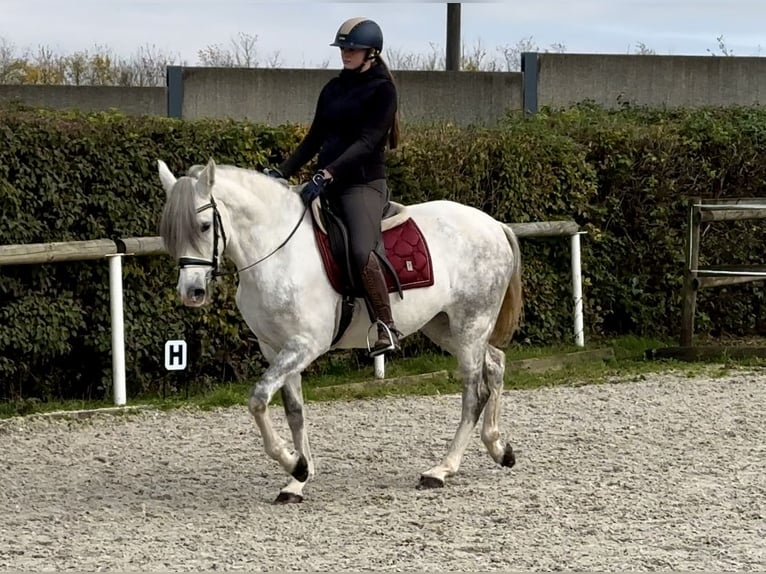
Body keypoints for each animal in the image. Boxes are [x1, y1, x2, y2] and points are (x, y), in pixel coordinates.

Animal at [159, 158, 524, 504]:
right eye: (170, 233)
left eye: (205, 226)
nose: (191, 292)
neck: (277, 250)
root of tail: (493, 225)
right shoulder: (275, 348)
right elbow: (295, 412)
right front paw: (298, 478)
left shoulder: (304, 345)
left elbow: (258, 399)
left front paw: (294, 464)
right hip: (445, 327)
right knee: (496, 364)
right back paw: (499, 449)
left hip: (470, 325)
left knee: (473, 392)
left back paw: (442, 469)